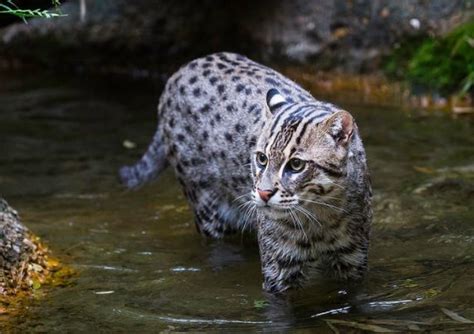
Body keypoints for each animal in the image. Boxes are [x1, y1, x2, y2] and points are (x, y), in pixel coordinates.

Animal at [120, 51, 372, 292]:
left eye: (296, 165)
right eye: (261, 158)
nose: (263, 193)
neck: (320, 216)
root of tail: (182, 70)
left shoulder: (352, 259)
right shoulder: (279, 265)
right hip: (207, 207)